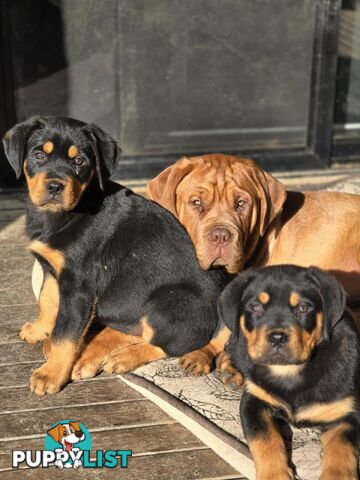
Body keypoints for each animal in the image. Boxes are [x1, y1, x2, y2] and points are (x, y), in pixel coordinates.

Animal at [2, 116, 229, 394]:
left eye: (79, 161)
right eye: (38, 155)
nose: (55, 186)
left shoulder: (78, 287)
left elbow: (65, 334)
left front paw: (50, 374)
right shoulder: (52, 268)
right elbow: (46, 300)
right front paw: (38, 330)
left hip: (167, 304)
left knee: (172, 342)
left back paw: (122, 357)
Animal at [219, 266, 360, 480]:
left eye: (303, 308)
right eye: (255, 307)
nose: (277, 337)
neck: (288, 371)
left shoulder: (346, 413)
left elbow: (342, 451)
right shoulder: (254, 401)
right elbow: (265, 439)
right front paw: (274, 475)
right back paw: (230, 371)